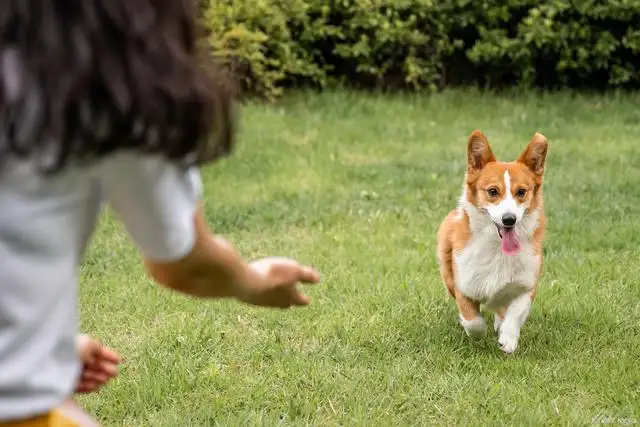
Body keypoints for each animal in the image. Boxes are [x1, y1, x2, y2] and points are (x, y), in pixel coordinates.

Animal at [438, 130, 548, 354]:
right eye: (493, 192)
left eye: (521, 192)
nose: (509, 219)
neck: (498, 250)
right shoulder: (464, 284)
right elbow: (473, 320)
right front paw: (478, 333)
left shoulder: (526, 285)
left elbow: (515, 313)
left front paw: (508, 339)